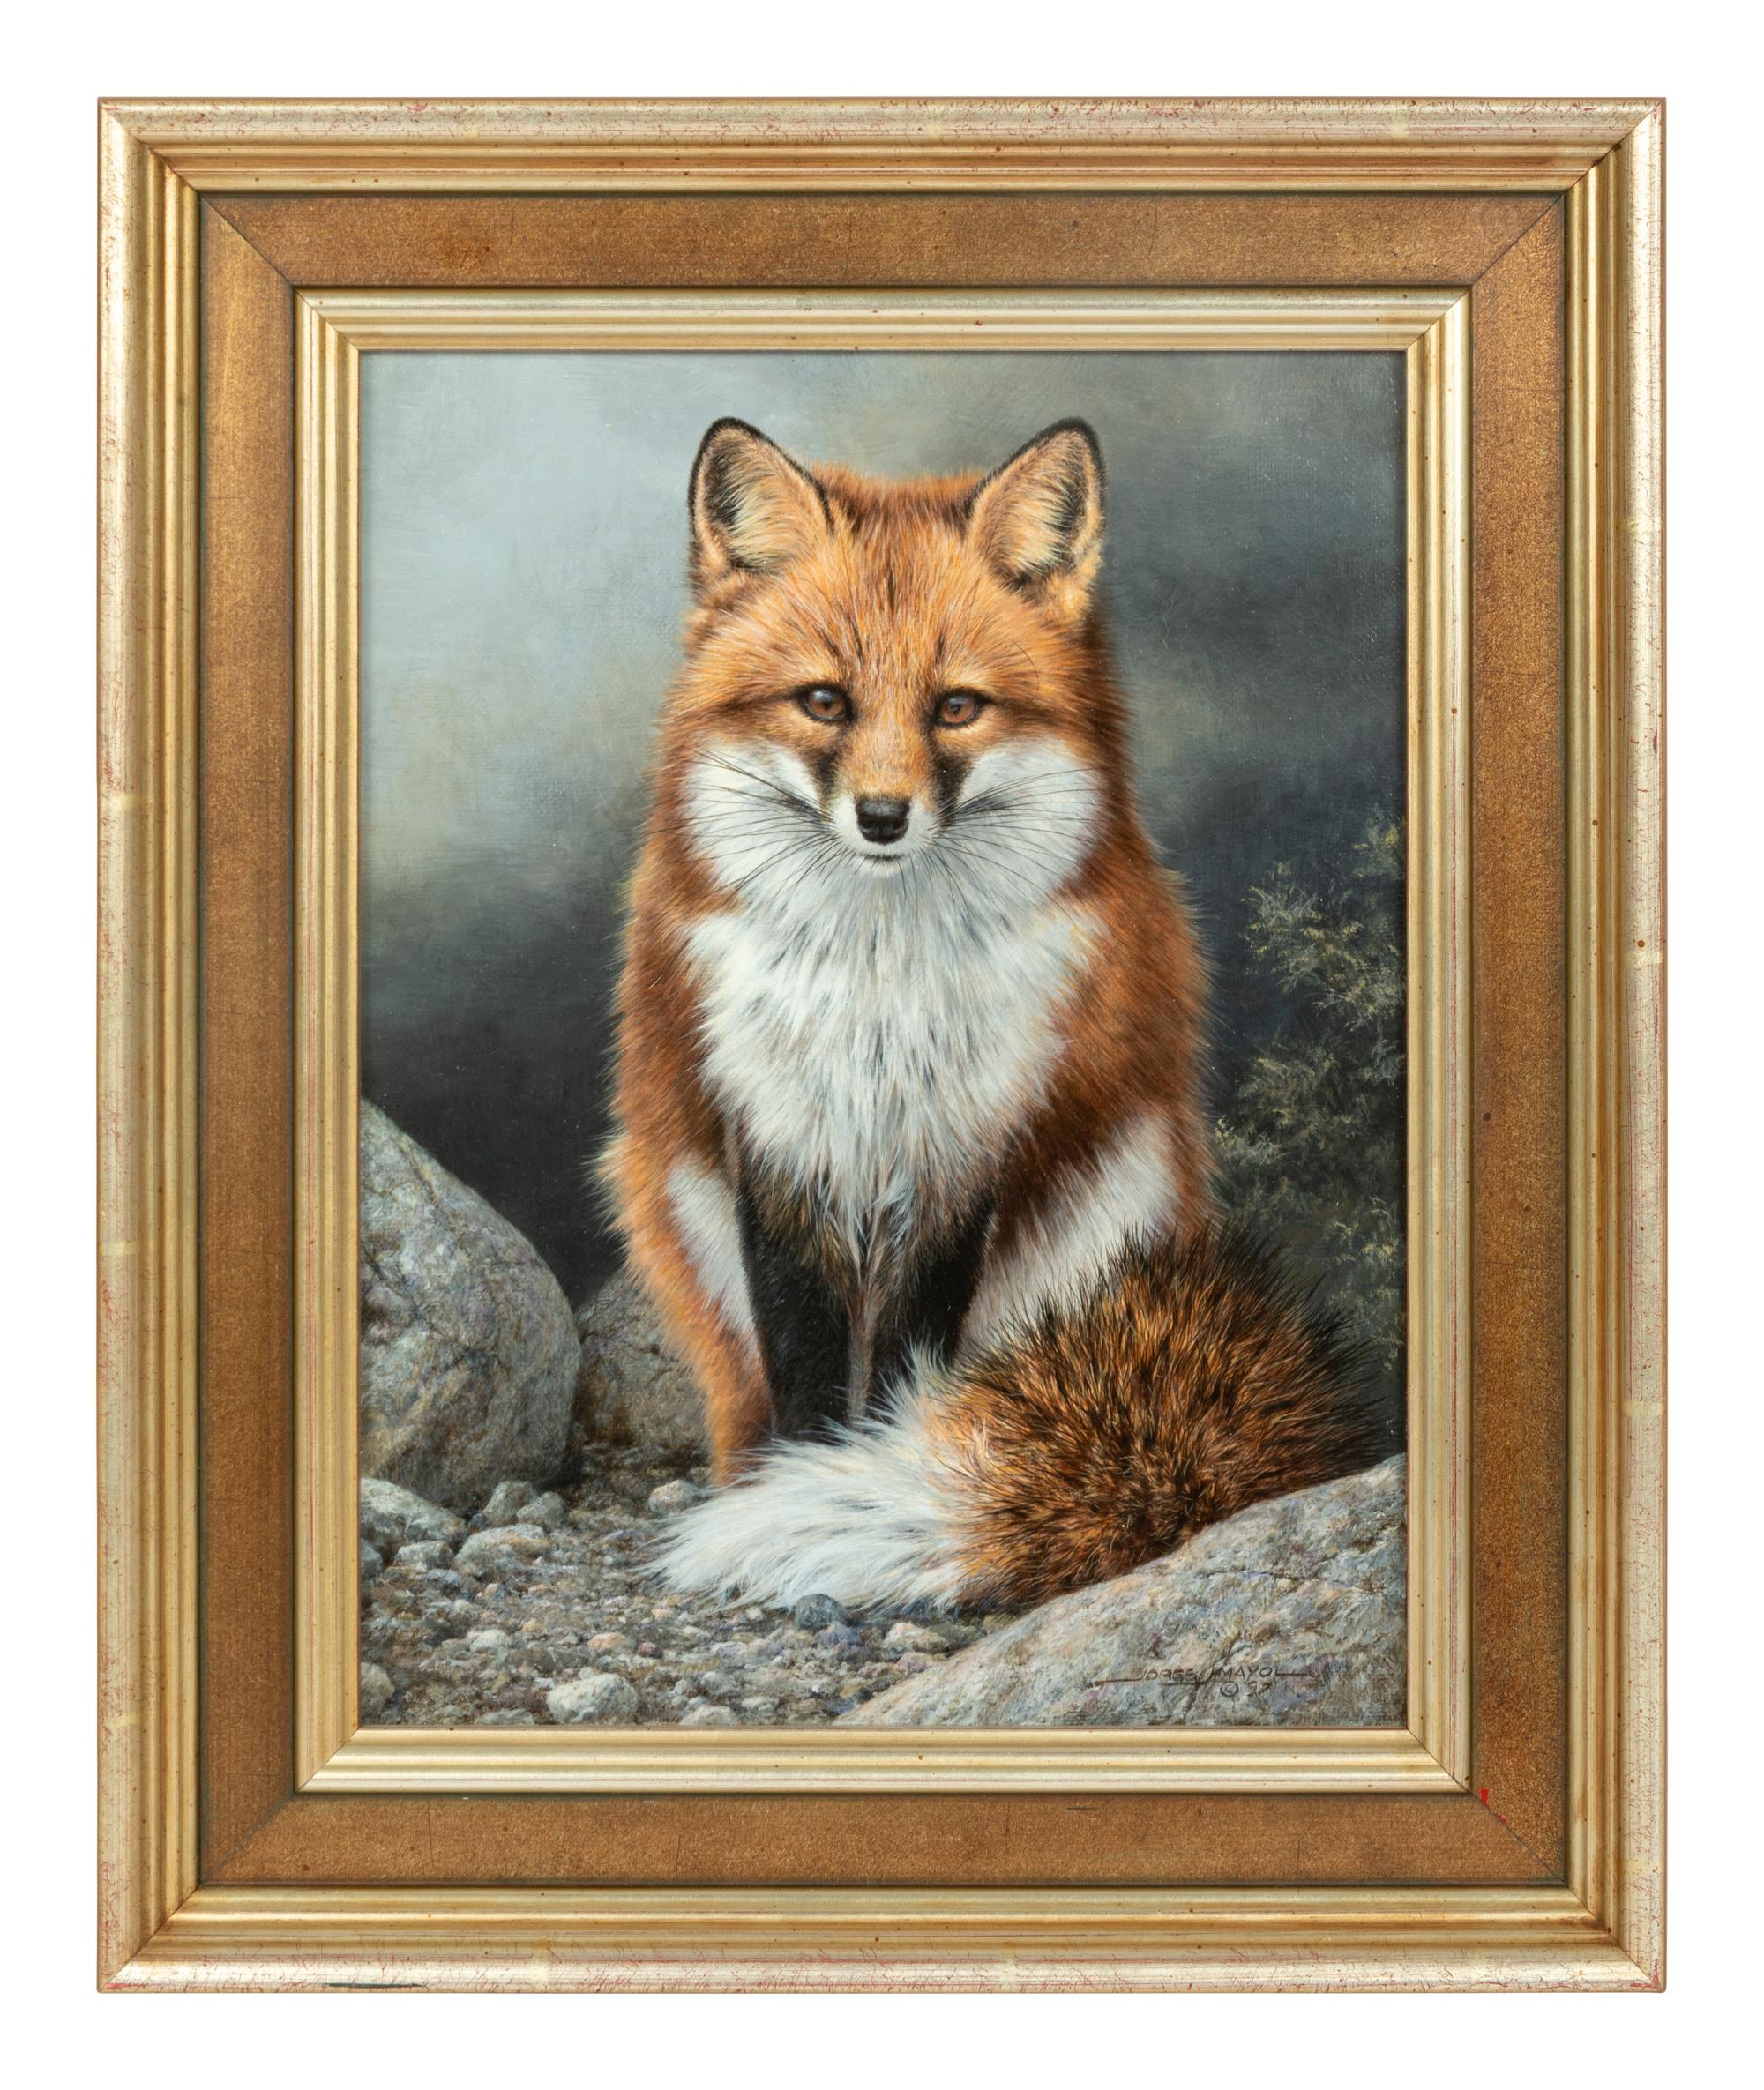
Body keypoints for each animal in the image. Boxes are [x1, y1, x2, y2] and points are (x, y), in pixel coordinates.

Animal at [601, 414, 1376, 1610]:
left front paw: (853, 1470)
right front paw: (800, 1478)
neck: (879, 989)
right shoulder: (775, 1142)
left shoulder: (962, 1148)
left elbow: (907, 1358)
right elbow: (802, 1354)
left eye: (955, 707)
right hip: (671, 1200)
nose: (881, 818)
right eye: (824, 701)